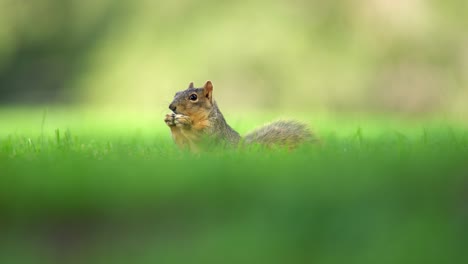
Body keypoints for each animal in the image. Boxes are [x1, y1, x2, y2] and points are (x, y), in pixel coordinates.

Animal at [165, 80, 314, 151]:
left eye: (193, 97)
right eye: (176, 93)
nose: (171, 107)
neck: (197, 118)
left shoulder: (215, 129)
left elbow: (202, 136)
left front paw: (186, 124)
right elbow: (183, 144)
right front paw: (170, 120)